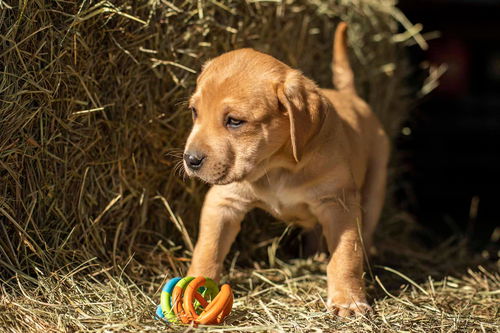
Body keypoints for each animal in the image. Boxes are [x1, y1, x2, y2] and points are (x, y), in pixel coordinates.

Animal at [184, 22, 390, 314]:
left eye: (235, 121)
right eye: (194, 112)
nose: (191, 159)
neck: (277, 167)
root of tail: (350, 96)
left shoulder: (338, 204)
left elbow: (346, 254)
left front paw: (348, 300)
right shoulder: (223, 202)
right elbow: (207, 249)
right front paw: (196, 285)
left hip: (375, 185)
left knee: (367, 232)